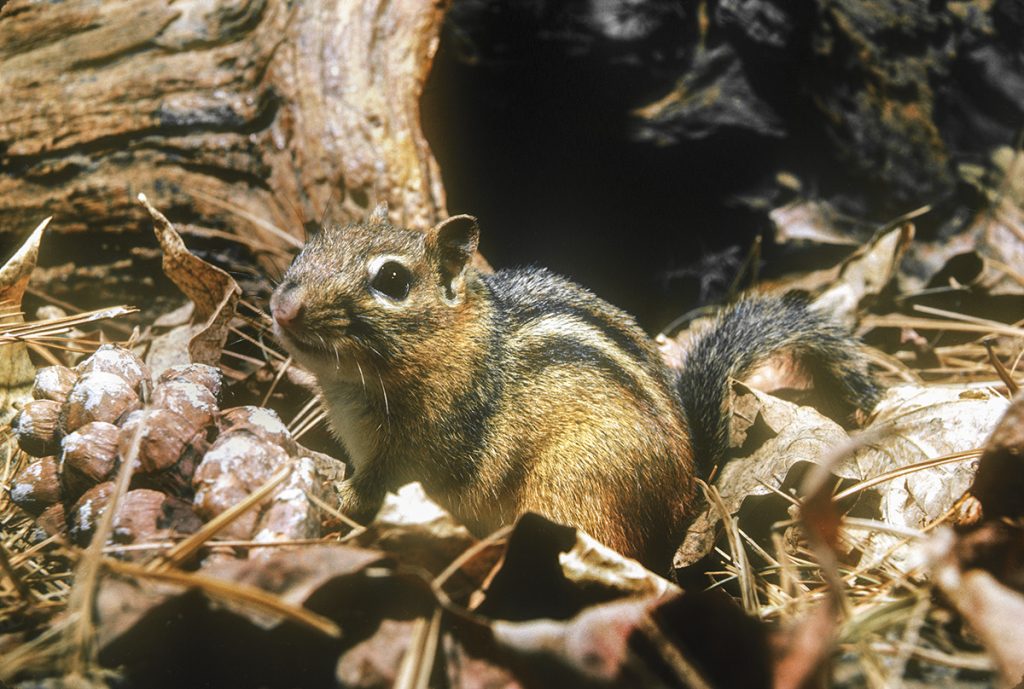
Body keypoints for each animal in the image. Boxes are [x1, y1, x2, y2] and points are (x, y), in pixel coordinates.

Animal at [270, 204, 881, 571]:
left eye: (393, 280)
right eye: (305, 250)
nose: (285, 306)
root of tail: (691, 486)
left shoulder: (426, 448)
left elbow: (378, 488)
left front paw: (337, 501)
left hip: (572, 489)